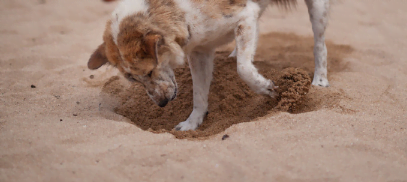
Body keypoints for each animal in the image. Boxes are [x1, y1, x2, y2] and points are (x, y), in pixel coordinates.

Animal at [88, 0, 332, 131]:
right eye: (133, 79)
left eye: (149, 71)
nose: (162, 104)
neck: (174, 10)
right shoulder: (200, 52)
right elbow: (199, 94)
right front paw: (192, 123)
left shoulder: (245, 15)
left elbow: (244, 69)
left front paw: (266, 88)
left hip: (317, 9)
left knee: (320, 45)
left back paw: (320, 79)